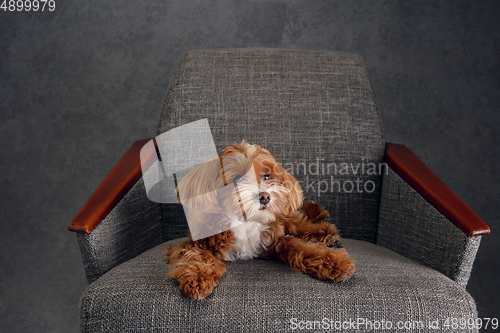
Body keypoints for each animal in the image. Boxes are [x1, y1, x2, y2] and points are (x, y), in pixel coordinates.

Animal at [165, 140, 356, 298]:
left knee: (299, 224)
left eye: (266, 176)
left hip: (282, 215)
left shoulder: (274, 239)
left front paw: (335, 262)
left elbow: (300, 246)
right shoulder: (190, 243)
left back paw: (327, 233)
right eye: (238, 179)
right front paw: (198, 276)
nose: (265, 197)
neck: (244, 221)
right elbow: (199, 255)